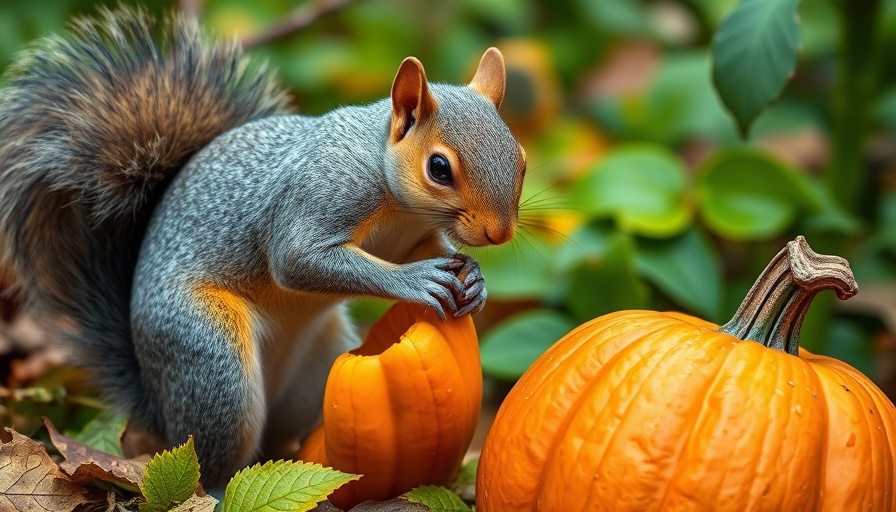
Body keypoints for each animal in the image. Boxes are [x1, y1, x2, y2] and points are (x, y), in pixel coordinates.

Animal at [0, 6, 524, 486]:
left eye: (520, 159)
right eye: (439, 168)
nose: (499, 234)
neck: (396, 196)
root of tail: (159, 409)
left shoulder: (410, 236)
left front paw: (474, 279)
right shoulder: (324, 191)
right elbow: (295, 259)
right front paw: (414, 281)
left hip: (318, 367)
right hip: (212, 360)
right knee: (210, 462)